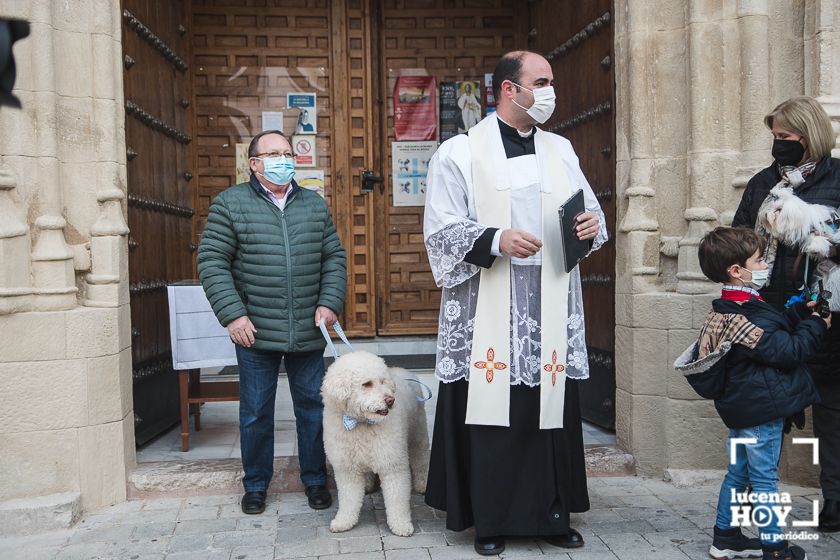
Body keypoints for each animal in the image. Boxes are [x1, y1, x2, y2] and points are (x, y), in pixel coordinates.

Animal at [320, 350, 430, 540]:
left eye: (383, 381)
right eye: (366, 384)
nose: (390, 400)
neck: (361, 424)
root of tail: (402, 370)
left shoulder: (392, 465)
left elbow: (397, 500)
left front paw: (401, 525)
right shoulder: (346, 469)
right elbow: (348, 499)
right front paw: (343, 522)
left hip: (418, 432)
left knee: (421, 458)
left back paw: (422, 484)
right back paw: (368, 485)